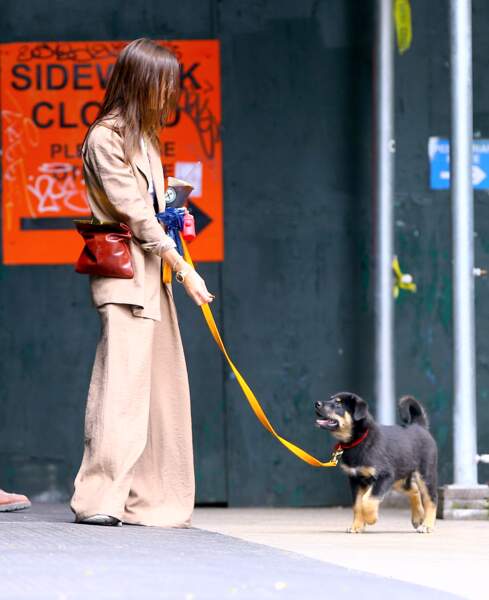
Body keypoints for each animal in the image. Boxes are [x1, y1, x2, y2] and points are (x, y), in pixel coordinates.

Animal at [314, 394, 436, 536]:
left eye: (339, 404)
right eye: (330, 399)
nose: (316, 403)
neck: (357, 441)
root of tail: (419, 425)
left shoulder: (384, 476)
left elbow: (368, 500)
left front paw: (370, 519)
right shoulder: (355, 480)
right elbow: (357, 505)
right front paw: (356, 526)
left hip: (424, 474)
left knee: (431, 499)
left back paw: (427, 525)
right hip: (398, 478)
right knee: (414, 489)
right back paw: (418, 517)